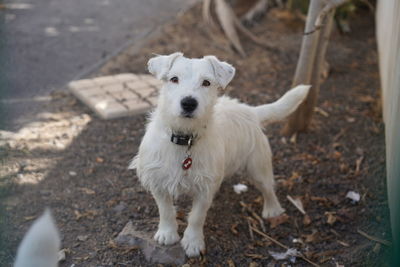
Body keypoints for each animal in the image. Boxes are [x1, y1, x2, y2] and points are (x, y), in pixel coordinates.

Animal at [130, 52, 310, 258]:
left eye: (206, 83)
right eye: (174, 79)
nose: (189, 103)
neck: (185, 138)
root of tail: (250, 110)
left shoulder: (205, 189)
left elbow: (197, 217)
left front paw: (193, 242)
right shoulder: (158, 182)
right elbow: (166, 210)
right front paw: (167, 234)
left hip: (258, 168)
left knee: (268, 189)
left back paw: (272, 210)